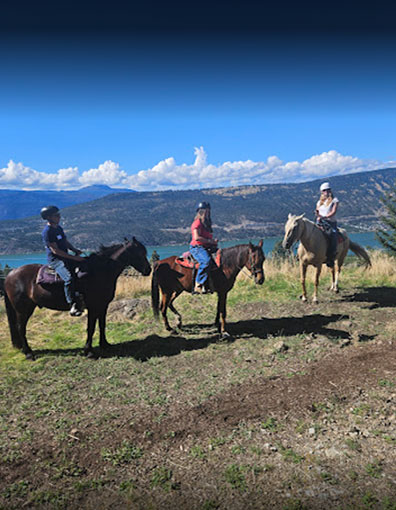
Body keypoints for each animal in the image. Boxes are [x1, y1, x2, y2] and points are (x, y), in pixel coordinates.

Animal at [3, 238, 152, 360]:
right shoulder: (93, 307)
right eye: (139, 253)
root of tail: (10, 275)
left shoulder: (103, 305)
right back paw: (28, 353)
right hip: (23, 310)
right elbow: (91, 328)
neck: (99, 271)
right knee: (20, 328)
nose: (148, 270)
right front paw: (89, 351)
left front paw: (105, 344)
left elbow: (102, 325)